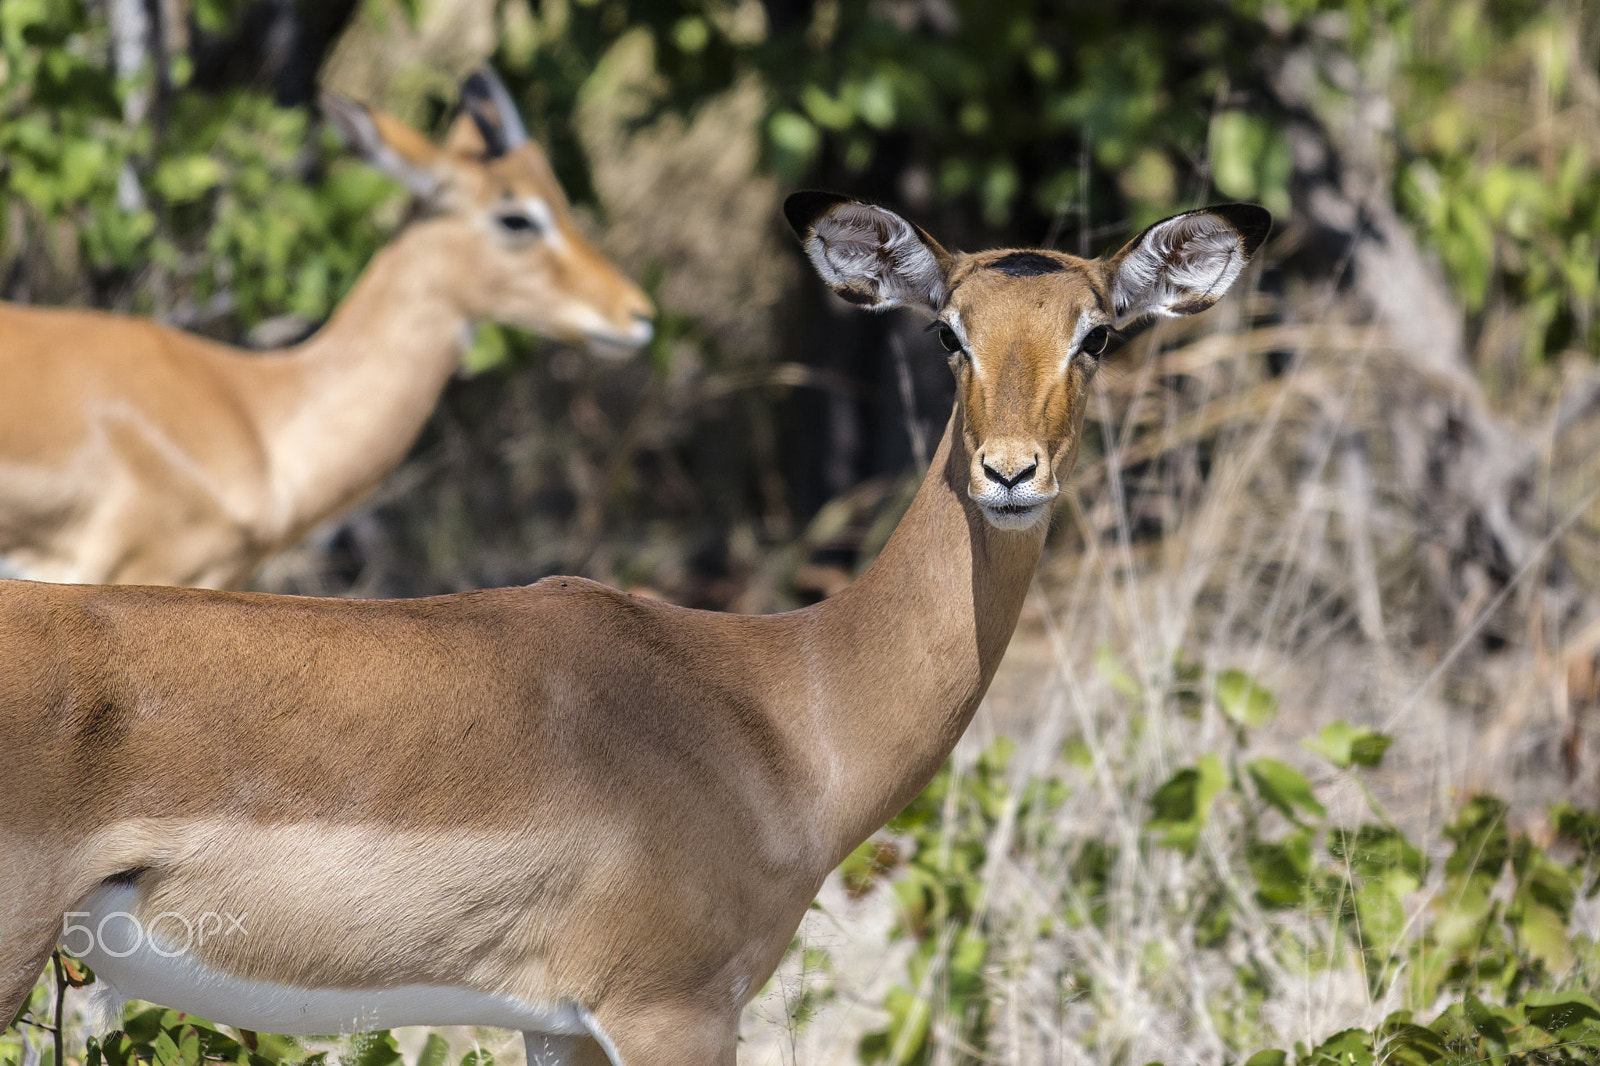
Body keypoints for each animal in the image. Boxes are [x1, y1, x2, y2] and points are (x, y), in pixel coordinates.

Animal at [0, 194, 1268, 1066]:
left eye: (1094, 334)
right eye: (950, 332)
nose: (1010, 474)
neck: (779, 704)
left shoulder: (560, 1023)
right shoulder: (673, 1011)